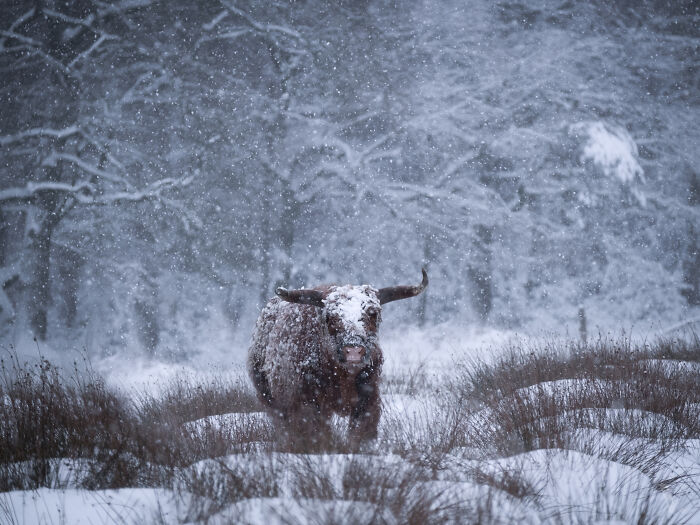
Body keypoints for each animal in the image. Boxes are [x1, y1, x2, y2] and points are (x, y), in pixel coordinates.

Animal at [248, 269, 428, 442]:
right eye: (330, 316)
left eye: (373, 313)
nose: (353, 351)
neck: (341, 374)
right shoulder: (308, 404)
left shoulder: (368, 400)